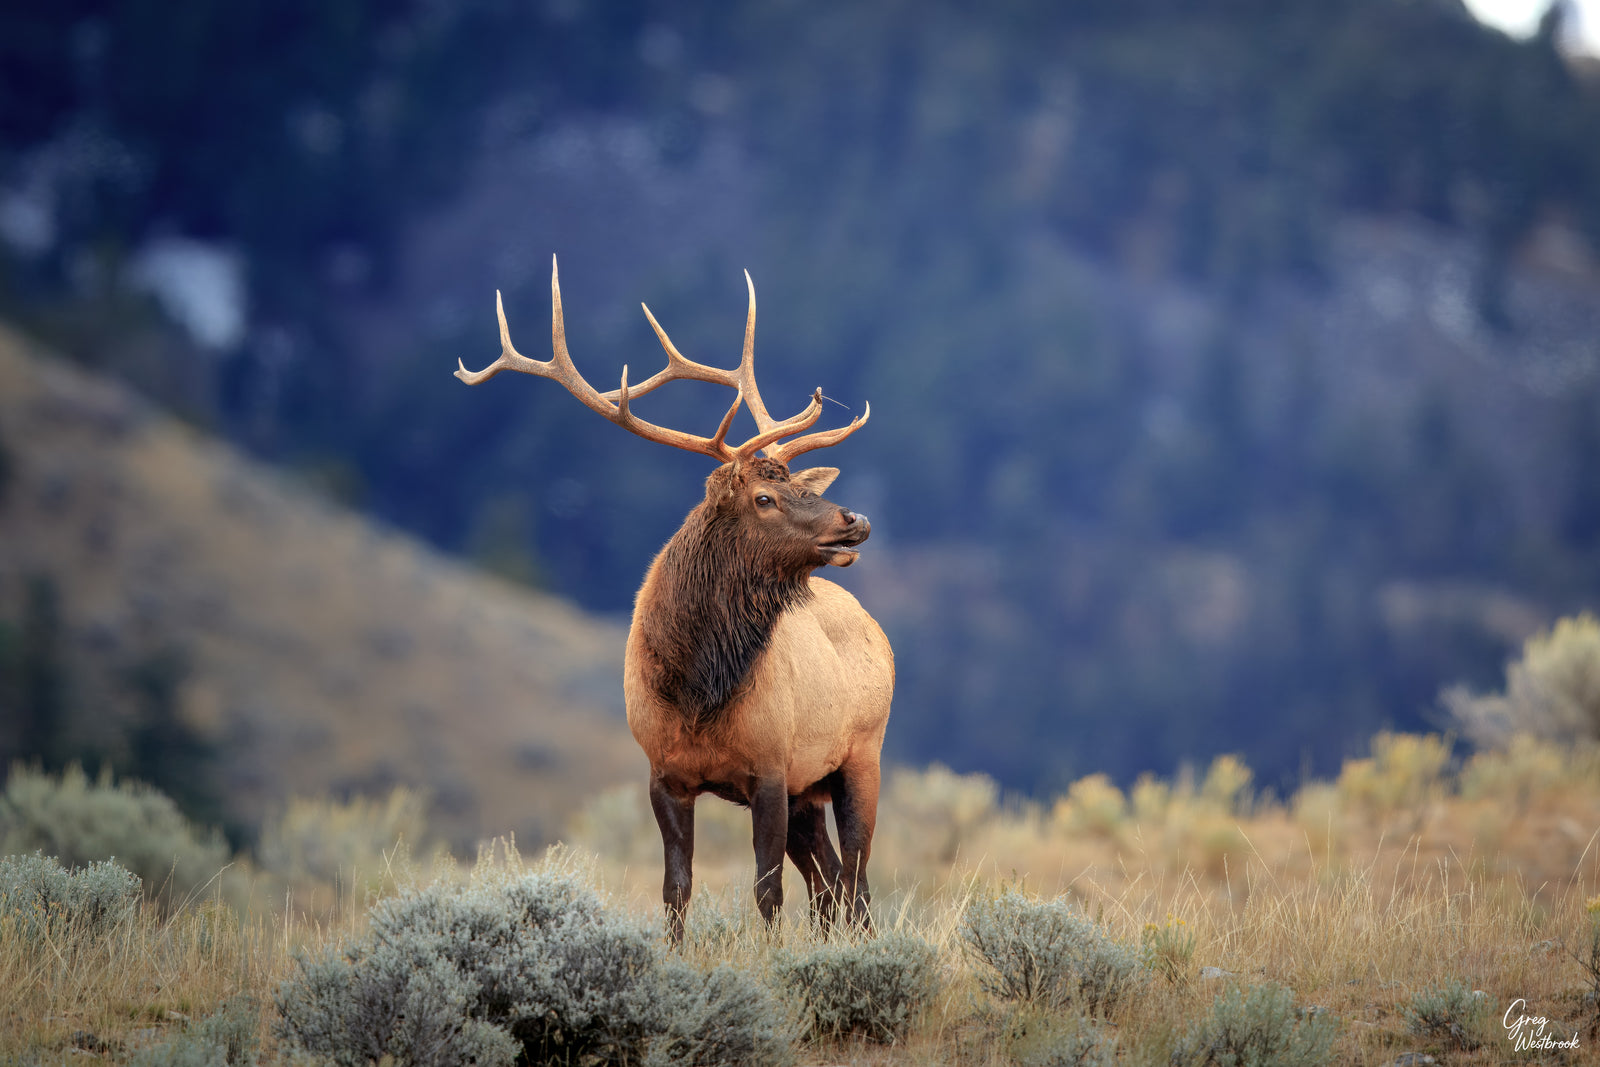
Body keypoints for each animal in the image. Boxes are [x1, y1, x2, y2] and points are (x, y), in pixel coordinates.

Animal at [456, 258, 893, 942]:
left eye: (802, 486)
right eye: (765, 497)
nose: (857, 520)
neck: (695, 690)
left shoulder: (772, 767)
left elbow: (766, 890)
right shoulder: (665, 773)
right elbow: (676, 888)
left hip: (861, 756)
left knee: (856, 881)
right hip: (812, 787)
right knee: (831, 883)